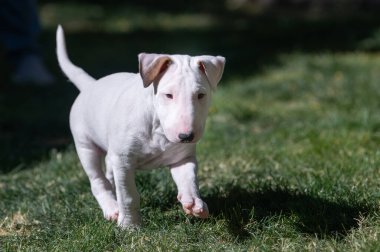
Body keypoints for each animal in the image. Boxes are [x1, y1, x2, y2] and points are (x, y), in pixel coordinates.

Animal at [56, 26, 226, 228]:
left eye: (201, 95)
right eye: (168, 95)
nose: (186, 136)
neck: (158, 128)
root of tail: (91, 85)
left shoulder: (182, 158)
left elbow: (188, 178)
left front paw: (193, 203)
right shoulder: (123, 161)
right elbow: (128, 196)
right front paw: (130, 226)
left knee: (109, 173)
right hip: (85, 146)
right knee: (98, 180)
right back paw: (112, 208)